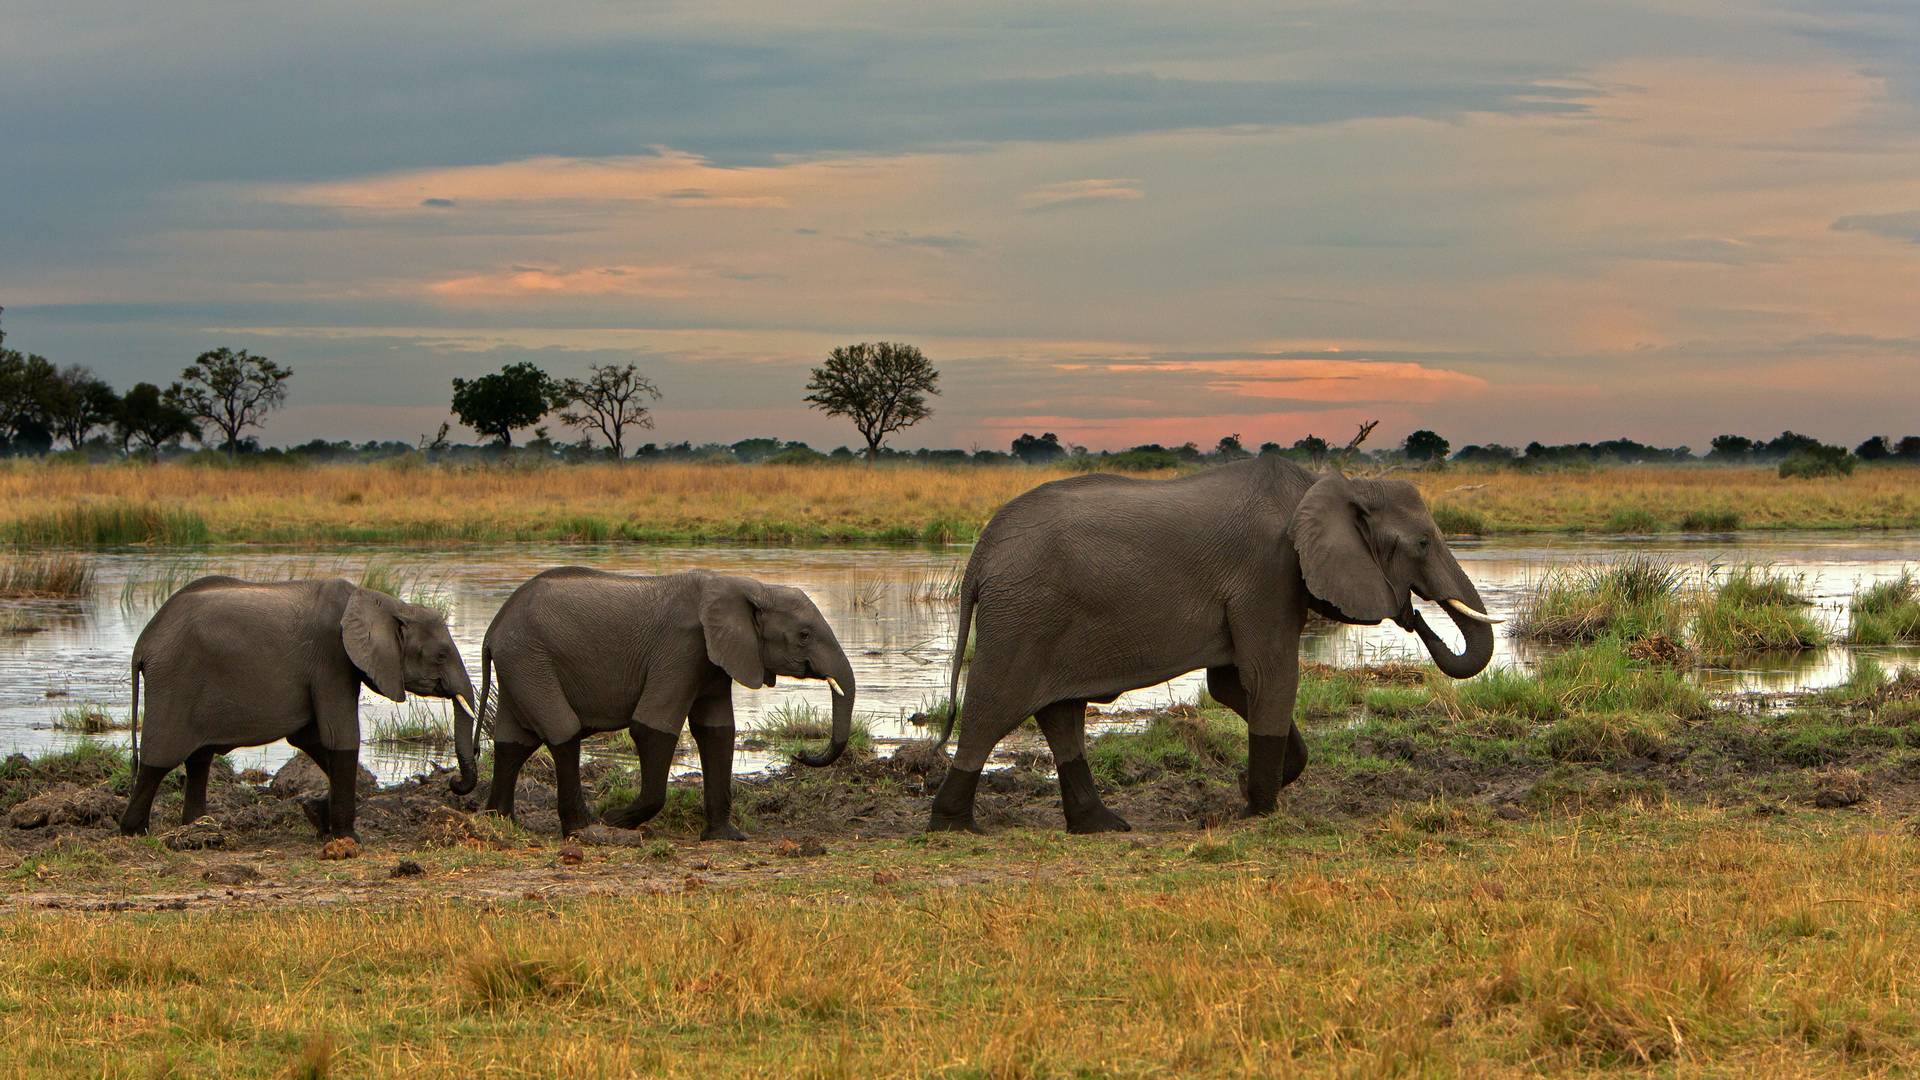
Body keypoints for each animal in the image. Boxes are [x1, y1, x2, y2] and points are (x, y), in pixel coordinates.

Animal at [120, 576, 480, 837]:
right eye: (441, 655)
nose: (454, 783)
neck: (384, 602)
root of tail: (143, 643)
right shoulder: (331, 660)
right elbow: (340, 737)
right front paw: (348, 838)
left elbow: (312, 739)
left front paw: (320, 817)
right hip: (175, 680)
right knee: (159, 759)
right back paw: (135, 830)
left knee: (199, 759)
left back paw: (196, 827)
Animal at [472, 568, 856, 837]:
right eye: (803, 636)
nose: (802, 754)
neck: (749, 586)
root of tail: (493, 628)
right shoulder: (681, 649)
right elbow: (651, 726)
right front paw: (616, 819)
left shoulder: (713, 660)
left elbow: (717, 731)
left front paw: (726, 837)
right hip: (529, 659)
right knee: (562, 730)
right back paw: (585, 828)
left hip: (520, 666)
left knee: (513, 741)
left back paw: (500, 821)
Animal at [929, 461, 1497, 834]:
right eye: (1422, 543)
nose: (1414, 614)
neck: (1330, 485)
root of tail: (980, 555)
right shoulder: (1269, 571)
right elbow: (1270, 677)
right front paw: (1259, 811)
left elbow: (1230, 686)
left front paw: (1248, 788)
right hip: (1023, 614)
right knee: (992, 707)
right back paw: (953, 825)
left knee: (1060, 713)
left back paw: (1103, 826)